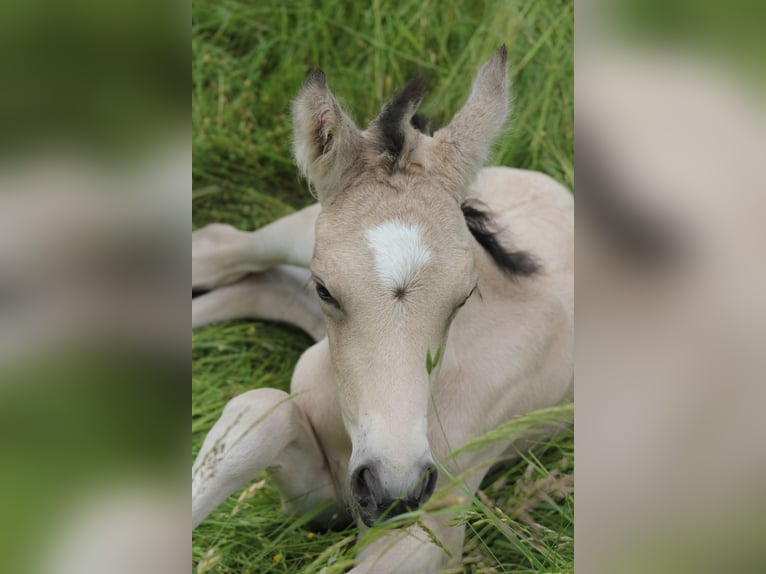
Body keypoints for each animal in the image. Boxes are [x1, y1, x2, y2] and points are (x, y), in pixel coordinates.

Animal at [194, 48, 576, 574]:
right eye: (326, 289)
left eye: (464, 296)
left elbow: (264, 412)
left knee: (262, 285)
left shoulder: (381, 518)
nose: (392, 490)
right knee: (218, 248)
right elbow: (257, 412)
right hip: (297, 231)